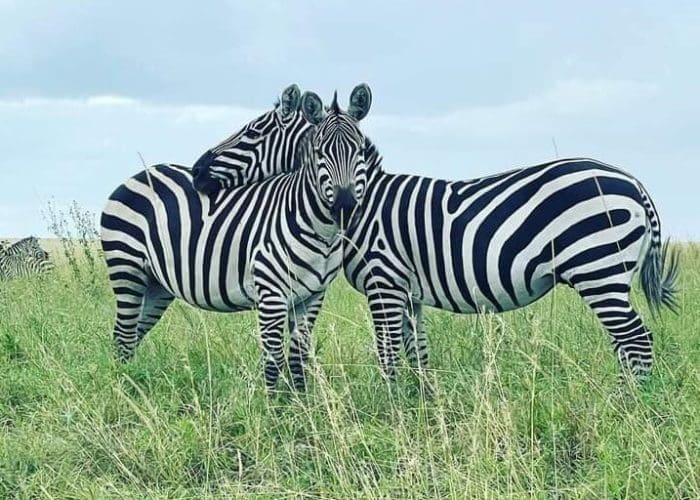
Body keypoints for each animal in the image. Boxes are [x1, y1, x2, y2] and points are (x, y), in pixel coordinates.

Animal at [100, 84, 373, 390]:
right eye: (318, 152)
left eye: (361, 151)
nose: (345, 206)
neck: (319, 229)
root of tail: (139, 174)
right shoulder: (271, 294)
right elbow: (273, 360)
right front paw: (272, 402)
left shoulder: (313, 297)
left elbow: (299, 359)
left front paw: (301, 400)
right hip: (127, 269)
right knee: (123, 337)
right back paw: (122, 387)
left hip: (156, 285)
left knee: (132, 337)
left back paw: (132, 383)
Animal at [340, 147, 679, 382]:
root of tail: (634, 183)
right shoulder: (408, 292)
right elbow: (417, 350)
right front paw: (421, 402)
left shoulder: (383, 282)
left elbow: (389, 351)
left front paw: (394, 403)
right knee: (625, 341)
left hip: (598, 269)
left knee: (636, 339)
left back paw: (627, 403)